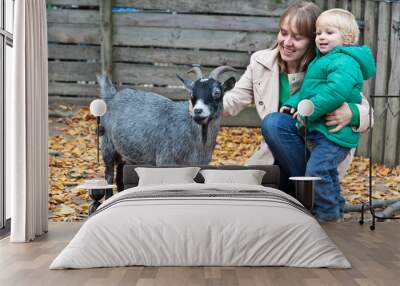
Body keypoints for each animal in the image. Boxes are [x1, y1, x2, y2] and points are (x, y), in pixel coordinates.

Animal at [97, 66, 236, 193]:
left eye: (217, 92)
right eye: (191, 94)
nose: (197, 111)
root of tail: (112, 95)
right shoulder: (165, 161)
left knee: (121, 173)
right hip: (107, 145)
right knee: (109, 174)